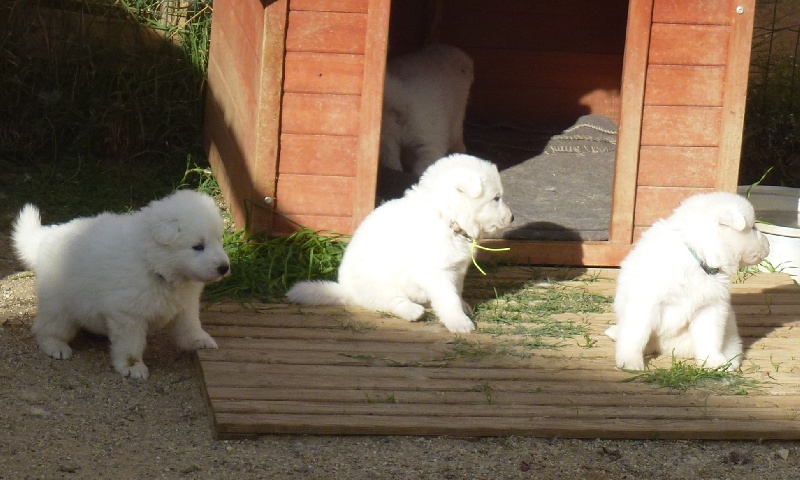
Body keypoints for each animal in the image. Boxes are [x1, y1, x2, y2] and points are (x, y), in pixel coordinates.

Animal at [13, 189, 231, 380]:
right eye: (198, 246)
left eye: (219, 240)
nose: (224, 267)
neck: (154, 264)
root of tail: (48, 235)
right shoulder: (128, 315)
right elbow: (131, 344)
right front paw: (133, 367)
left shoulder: (185, 305)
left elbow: (190, 325)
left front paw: (199, 340)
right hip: (59, 305)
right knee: (46, 327)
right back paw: (55, 346)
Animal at [288, 155, 512, 334]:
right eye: (496, 198)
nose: (512, 218)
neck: (447, 216)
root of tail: (345, 290)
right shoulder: (435, 272)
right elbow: (448, 298)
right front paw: (460, 322)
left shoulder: (457, 269)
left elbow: (456, 291)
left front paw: (463, 306)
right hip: (380, 283)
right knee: (392, 302)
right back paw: (413, 311)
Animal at [382, 43, 476, 176]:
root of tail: (403, 97)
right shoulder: (456, 119)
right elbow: (457, 137)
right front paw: (461, 150)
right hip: (430, 138)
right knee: (425, 164)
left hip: (387, 140)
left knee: (392, 163)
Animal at [608, 191, 768, 372]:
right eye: (753, 227)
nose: (769, 244)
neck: (699, 259)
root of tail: (662, 347)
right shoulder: (645, 302)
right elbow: (636, 335)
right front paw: (630, 361)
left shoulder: (710, 307)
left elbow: (710, 338)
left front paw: (714, 361)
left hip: (729, 330)